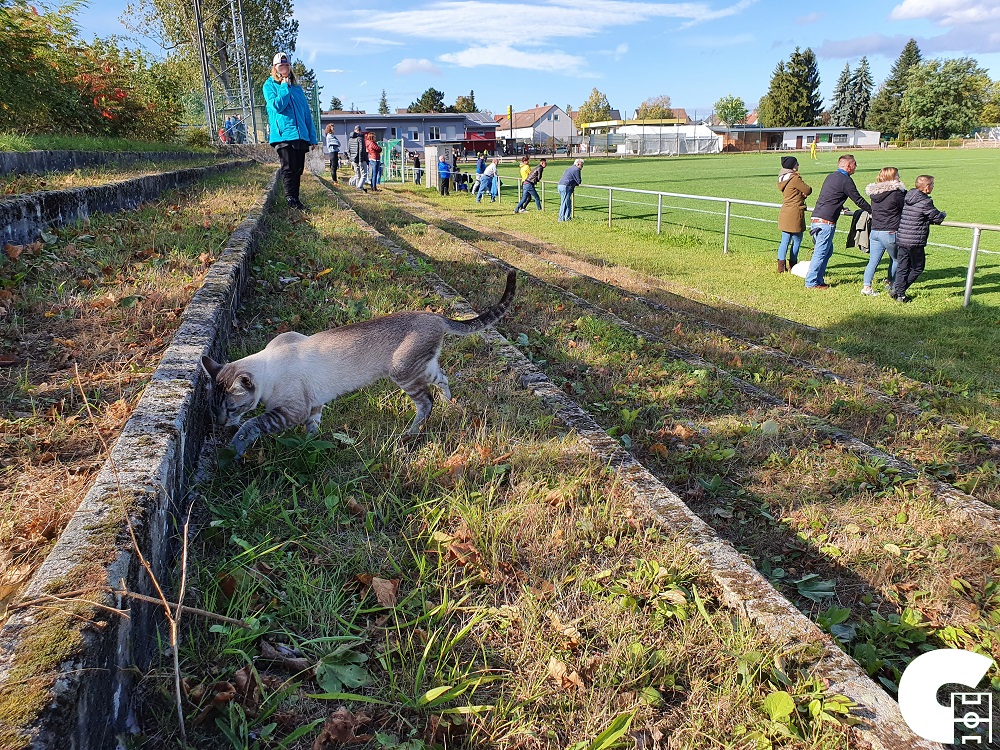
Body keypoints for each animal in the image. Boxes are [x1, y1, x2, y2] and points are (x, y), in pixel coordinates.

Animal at [202, 270, 516, 458]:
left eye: (232, 408)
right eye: (214, 409)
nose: (220, 424)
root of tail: (434, 315)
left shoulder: (289, 411)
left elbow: (251, 425)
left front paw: (234, 448)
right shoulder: (314, 406)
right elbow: (312, 429)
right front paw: (309, 447)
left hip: (402, 372)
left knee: (426, 402)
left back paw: (410, 434)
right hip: (421, 367)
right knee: (443, 378)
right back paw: (451, 403)